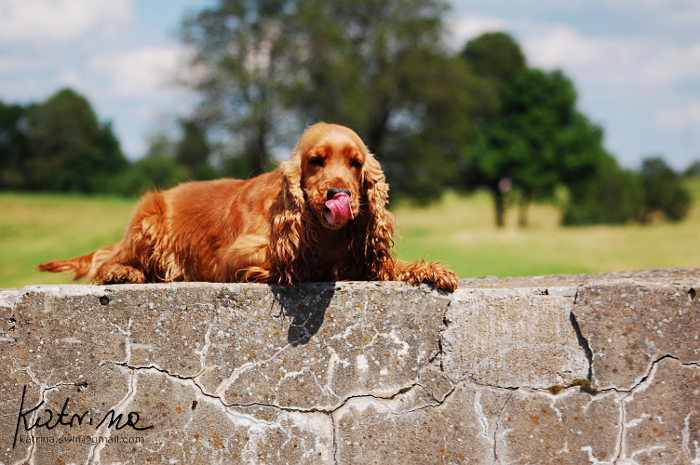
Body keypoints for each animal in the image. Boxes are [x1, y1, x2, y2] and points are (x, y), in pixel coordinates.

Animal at [41, 122, 462, 290]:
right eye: (316, 161)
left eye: (356, 163)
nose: (337, 194)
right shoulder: (238, 255)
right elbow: (299, 264)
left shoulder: (365, 257)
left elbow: (391, 266)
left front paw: (433, 271)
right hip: (149, 223)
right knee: (108, 263)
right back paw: (124, 273)